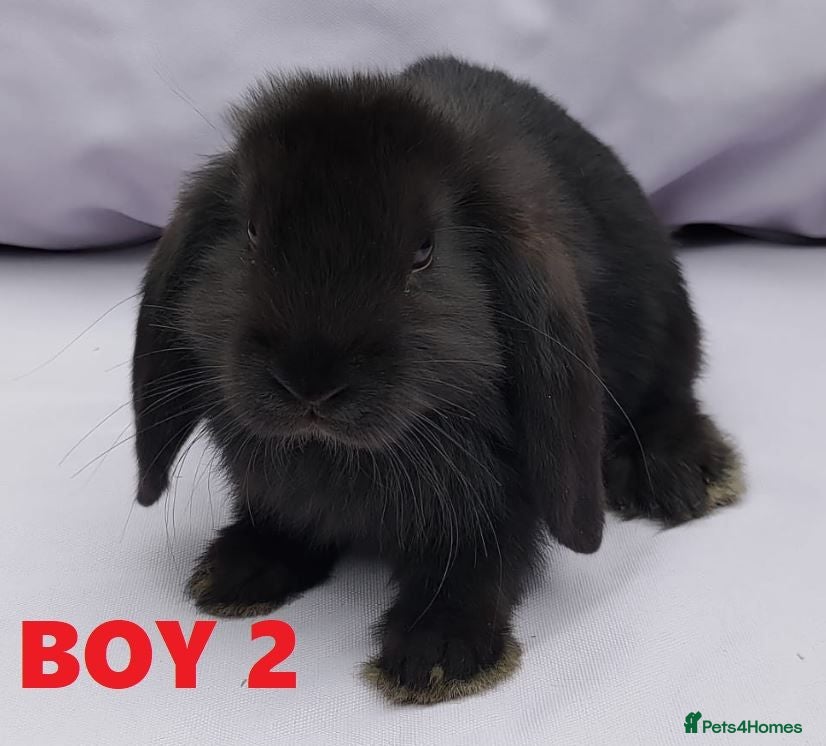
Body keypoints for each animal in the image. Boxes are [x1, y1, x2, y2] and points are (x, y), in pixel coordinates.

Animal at [131, 55, 744, 704]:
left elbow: (481, 562)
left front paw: (437, 654)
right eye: (250, 233)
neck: (341, 456)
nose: (309, 385)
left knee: (670, 395)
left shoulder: (503, 498)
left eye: (424, 252)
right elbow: (282, 514)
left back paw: (683, 472)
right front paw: (238, 569)